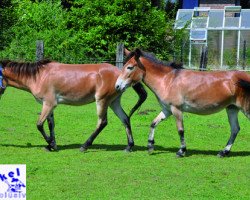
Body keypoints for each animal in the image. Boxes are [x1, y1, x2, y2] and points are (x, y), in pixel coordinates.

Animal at [0, 59, 146, 152]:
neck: (39, 76)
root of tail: (119, 73)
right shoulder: (50, 106)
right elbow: (51, 125)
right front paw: (51, 145)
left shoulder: (48, 104)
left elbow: (39, 125)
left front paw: (51, 144)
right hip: (113, 102)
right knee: (125, 118)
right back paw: (129, 146)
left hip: (102, 101)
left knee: (102, 122)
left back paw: (84, 146)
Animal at [116, 47, 250, 157]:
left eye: (130, 67)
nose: (117, 86)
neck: (168, 80)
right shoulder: (167, 110)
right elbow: (153, 123)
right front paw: (150, 146)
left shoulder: (176, 110)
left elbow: (180, 130)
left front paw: (181, 151)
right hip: (232, 108)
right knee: (235, 129)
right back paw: (224, 152)